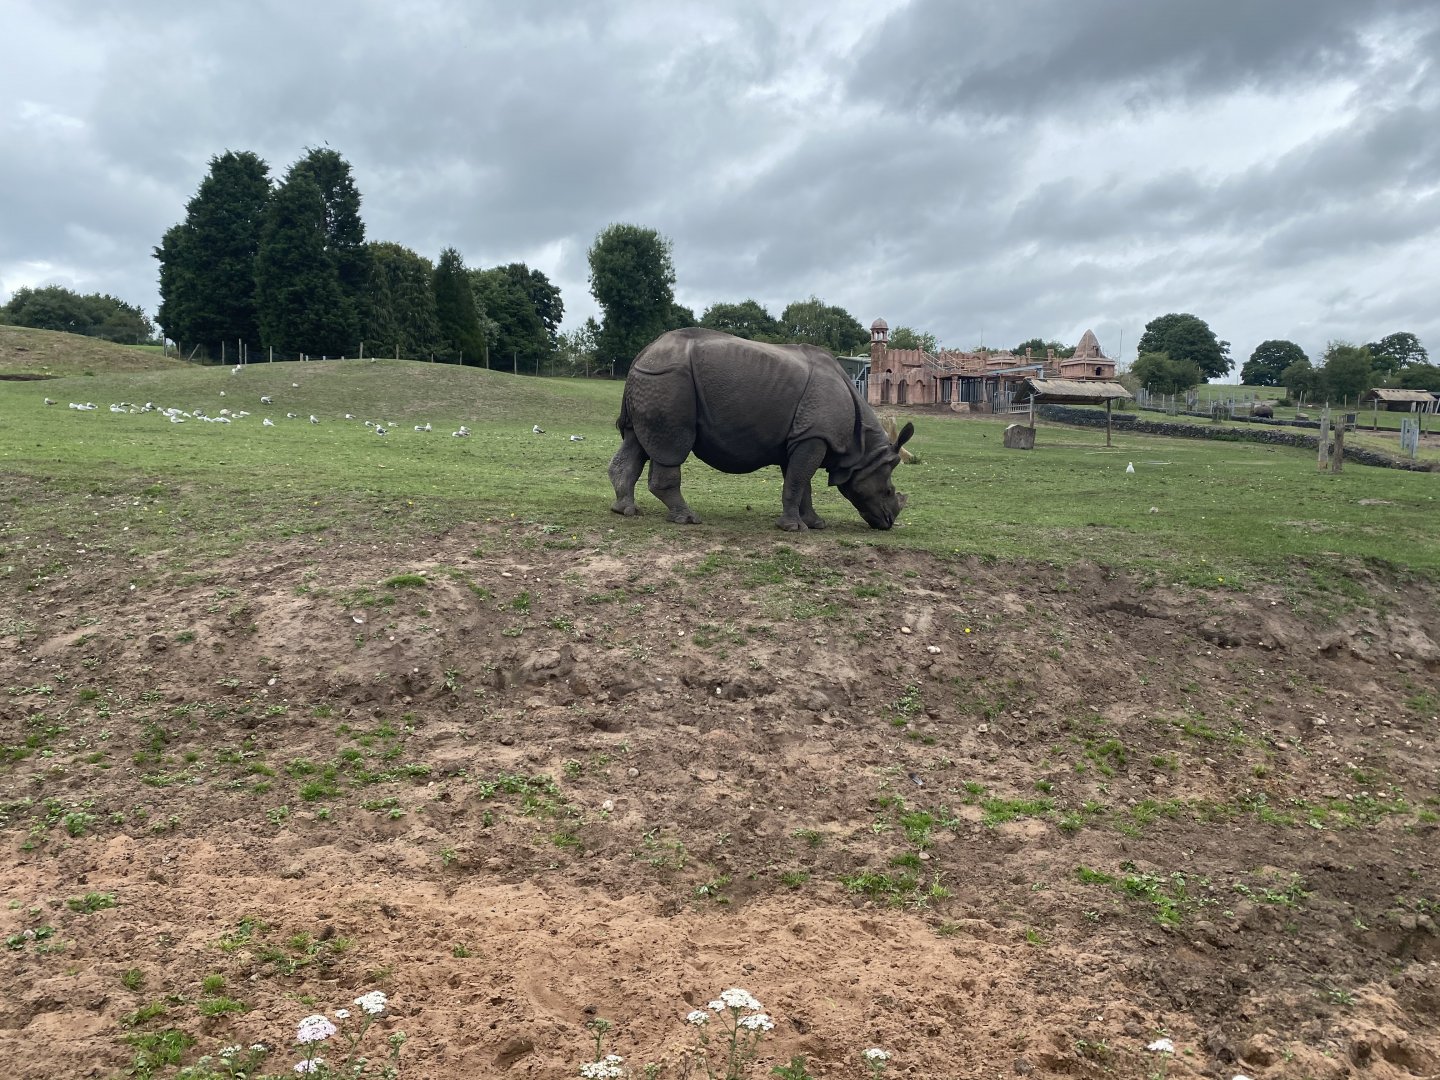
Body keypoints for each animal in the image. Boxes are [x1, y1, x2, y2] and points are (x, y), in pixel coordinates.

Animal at [608, 328, 913, 530]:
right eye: (888, 491)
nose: (888, 522)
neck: (862, 449)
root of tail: (644, 353)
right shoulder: (814, 437)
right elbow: (798, 481)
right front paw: (793, 528)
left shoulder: (801, 438)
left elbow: (800, 483)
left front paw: (815, 523)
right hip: (668, 378)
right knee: (671, 447)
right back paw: (688, 519)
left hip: (653, 379)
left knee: (637, 442)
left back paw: (625, 511)